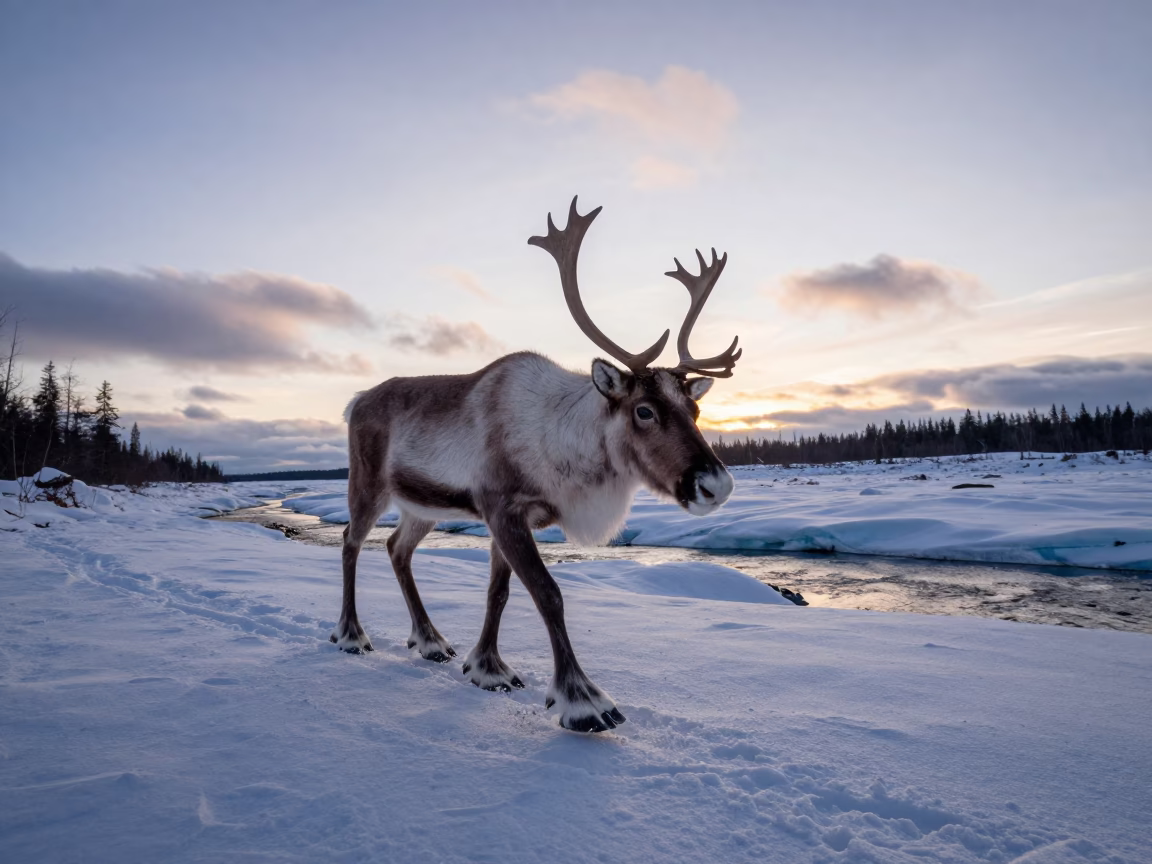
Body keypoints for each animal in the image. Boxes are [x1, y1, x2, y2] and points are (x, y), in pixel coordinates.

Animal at [334, 197, 741, 732]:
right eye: (644, 410)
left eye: (693, 408)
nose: (716, 484)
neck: (566, 446)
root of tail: (355, 401)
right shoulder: (502, 508)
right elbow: (548, 593)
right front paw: (584, 702)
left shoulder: (507, 518)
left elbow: (499, 592)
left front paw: (486, 668)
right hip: (367, 486)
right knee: (350, 541)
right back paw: (351, 634)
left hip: (421, 506)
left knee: (397, 549)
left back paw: (431, 641)